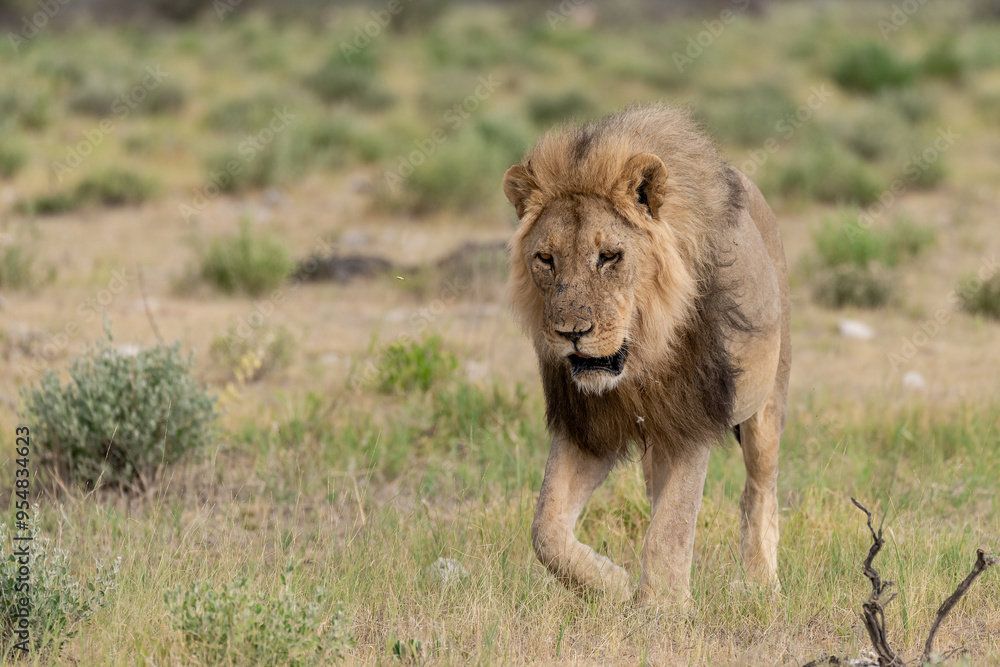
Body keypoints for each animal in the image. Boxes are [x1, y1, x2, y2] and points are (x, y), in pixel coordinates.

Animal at [502, 104, 790, 605]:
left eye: (609, 256)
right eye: (545, 259)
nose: (571, 333)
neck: (638, 360)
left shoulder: (690, 419)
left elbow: (671, 530)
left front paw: (661, 610)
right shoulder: (586, 427)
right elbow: (546, 530)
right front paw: (615, 585)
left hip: (768, 401)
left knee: (758, 490)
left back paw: (760, 584)